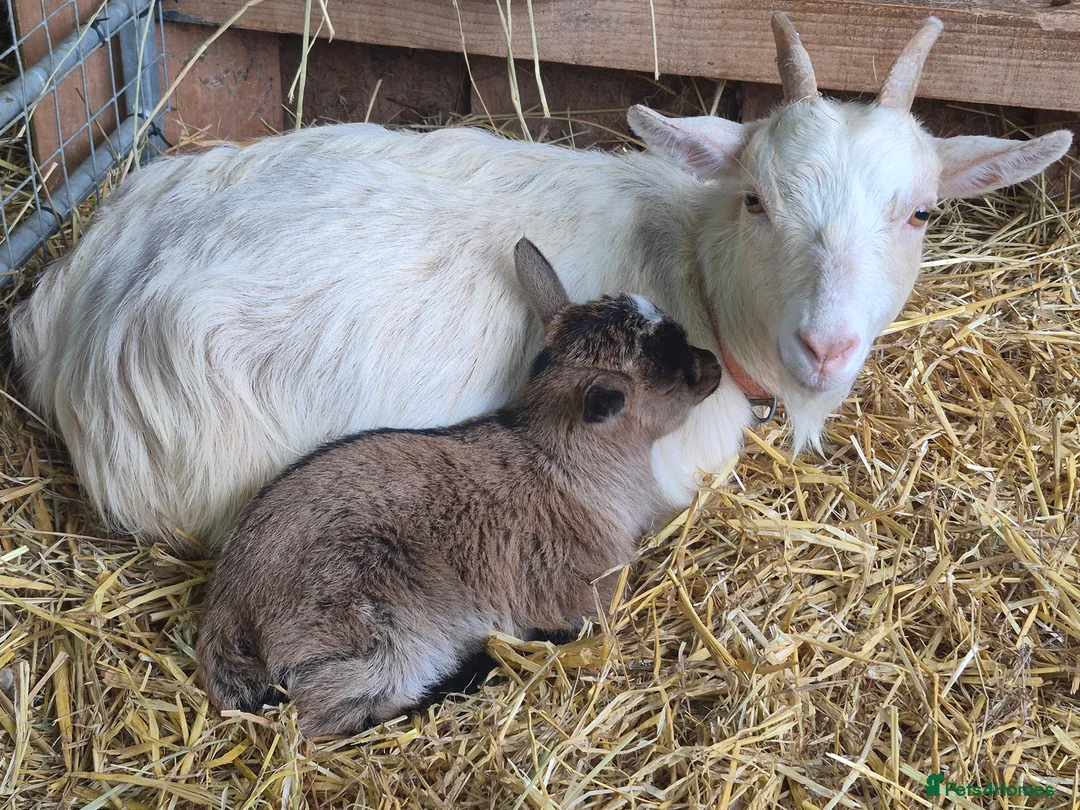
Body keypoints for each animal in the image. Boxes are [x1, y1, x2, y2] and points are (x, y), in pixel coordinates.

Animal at [196, 238, 723, 736]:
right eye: (673, 368)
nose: (715, 364)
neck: (561, 464)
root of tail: (228, 602)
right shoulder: (579, 592)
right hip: (378, 614)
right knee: (327, 712)